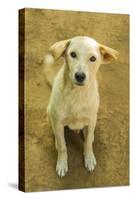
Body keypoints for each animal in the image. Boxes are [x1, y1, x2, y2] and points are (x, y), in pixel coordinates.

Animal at [44, 36, 118, 177]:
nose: (79, 76)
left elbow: (88, 143)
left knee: (88, 133)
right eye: (73, 54)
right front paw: (62, 163)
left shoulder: (91, 119)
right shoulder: (58, 122)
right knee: (57, 135)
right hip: (50, 112)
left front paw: (89, 158)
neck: (77, 94)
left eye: (93, 58)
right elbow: (62, 147)